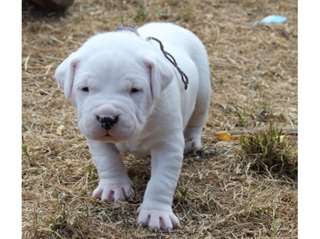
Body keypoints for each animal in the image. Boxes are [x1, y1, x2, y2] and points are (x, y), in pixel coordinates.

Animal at [55, 22, 212, 232]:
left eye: (135, 90)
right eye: (85, 89)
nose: (106, 118)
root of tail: (170, 24)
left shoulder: (168, 144)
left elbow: (161, 181)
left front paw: (156, 214)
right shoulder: (96, 138)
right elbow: (108, 160)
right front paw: (114, 188)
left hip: (203, 90)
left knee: (197, 118)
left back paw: (191, 141)